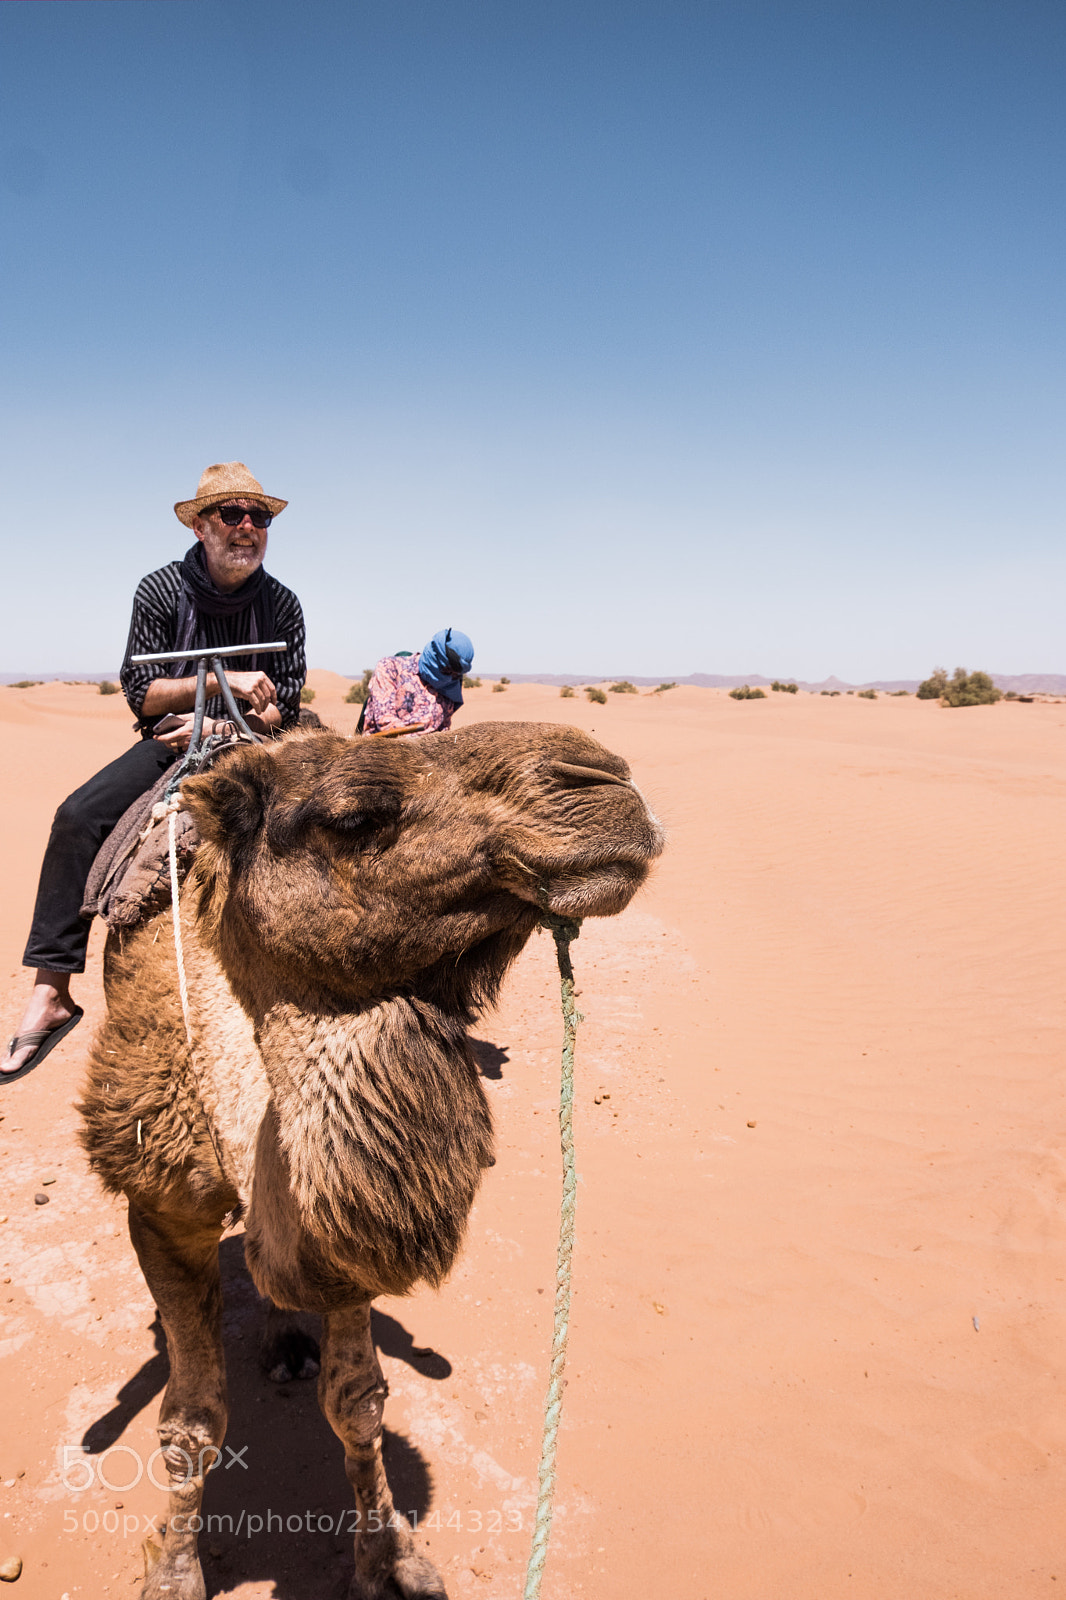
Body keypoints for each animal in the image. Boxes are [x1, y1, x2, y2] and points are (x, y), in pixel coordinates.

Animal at [79, 720, 663, 1600]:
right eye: (354, 816)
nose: (605, 780)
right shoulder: (157, 1208)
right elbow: (192, 1422)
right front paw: (175, 1573)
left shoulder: (344, 1235)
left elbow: (357, 1402)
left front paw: (389, 1562)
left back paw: (289, 1341)